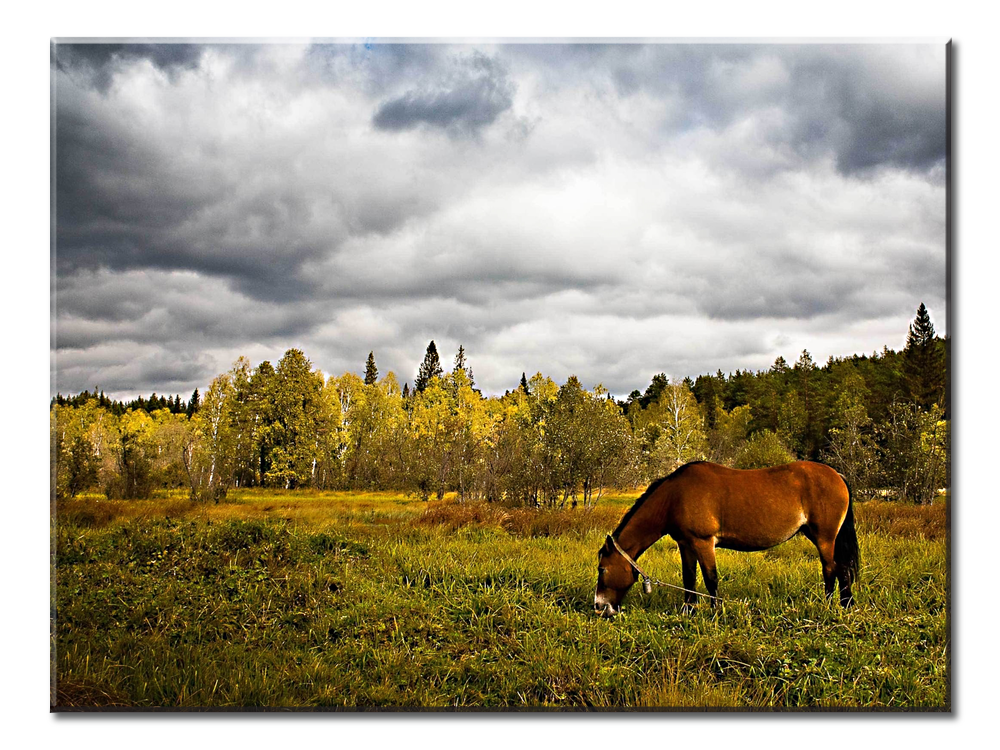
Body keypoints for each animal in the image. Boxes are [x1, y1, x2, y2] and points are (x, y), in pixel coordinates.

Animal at [592, 462, 860, 620]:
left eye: (602, 569)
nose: (599, 606)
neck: (674, 497)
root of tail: (837, 475)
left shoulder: (703, 543)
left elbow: (710, 579)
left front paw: (715, 613)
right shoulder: (686, 545)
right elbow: (689, 578)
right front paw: (689, 610)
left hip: (825, 537)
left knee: (831, 569)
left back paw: (830, 605)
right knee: (842, 569)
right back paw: (845, 604)